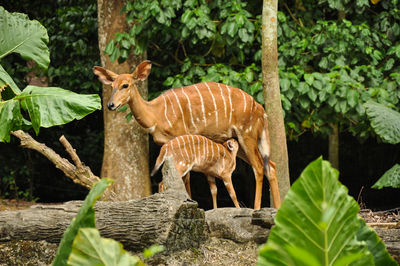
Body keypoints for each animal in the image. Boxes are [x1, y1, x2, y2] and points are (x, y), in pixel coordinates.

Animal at [94, 60, 282, 210]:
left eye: (125, 85)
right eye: (112, 86)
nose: (110, 105)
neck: (156, 114)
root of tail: (261, 110)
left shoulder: (182, 139)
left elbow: (185, 178)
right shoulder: (166, 145)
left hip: (247, 135)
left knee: (259, 167)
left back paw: (256, 209)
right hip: (239, 140)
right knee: (271, 165)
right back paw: (278, 208)